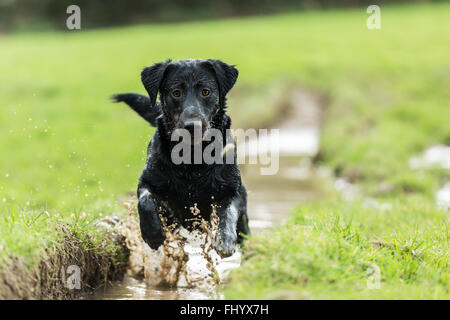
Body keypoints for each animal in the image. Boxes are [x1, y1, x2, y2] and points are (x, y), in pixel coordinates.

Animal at [113, 58, 250, 258]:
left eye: (205, 91)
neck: (191, 158)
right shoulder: (148, 180)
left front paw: (225, 239)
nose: (192, 126)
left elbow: (228, 213)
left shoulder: (230, 189)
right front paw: (152, 233)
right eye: (176, 93)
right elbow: (145, 201)